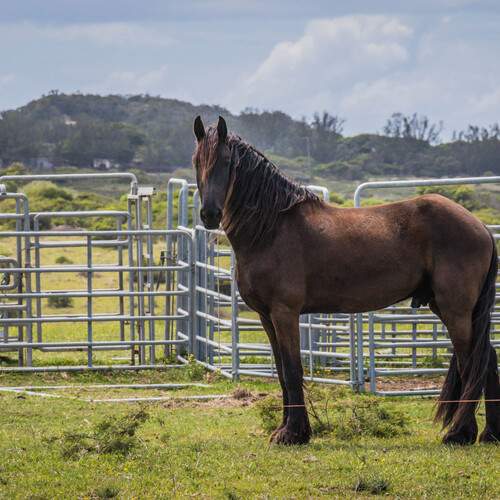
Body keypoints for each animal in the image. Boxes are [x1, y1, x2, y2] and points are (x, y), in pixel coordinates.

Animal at [192, 115, 500, 446]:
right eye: (197, 161)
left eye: (226, 161)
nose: (209, 214)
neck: (271, 229)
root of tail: (480, 226)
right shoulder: (266, 316)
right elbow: (282, 371)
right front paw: (286, 430)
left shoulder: (285, 313)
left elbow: (292, 370)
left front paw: (293, 433)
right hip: (447, 308)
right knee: (487, 358)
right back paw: (490, 434)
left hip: (456, 310)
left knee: (472, 361)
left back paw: (460, 432)